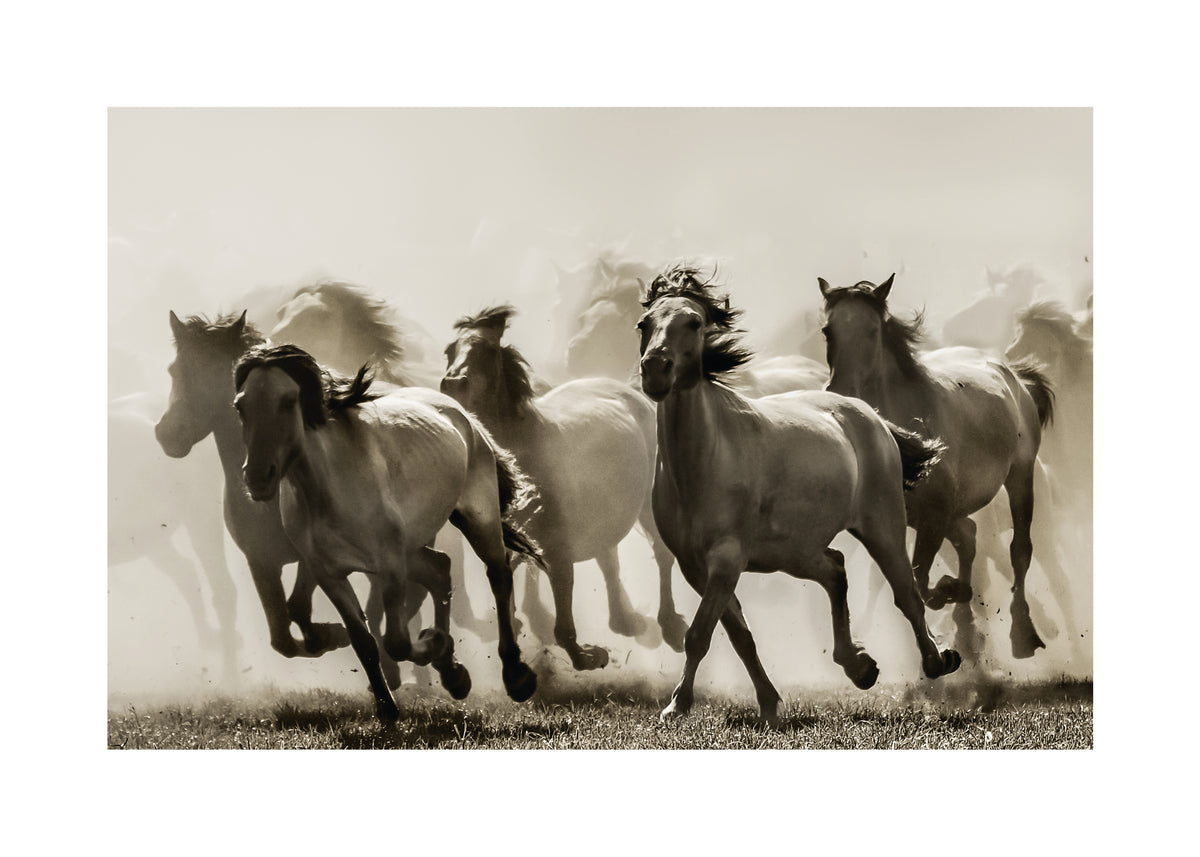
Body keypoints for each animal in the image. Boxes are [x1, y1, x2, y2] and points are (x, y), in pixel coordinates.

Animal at [234, 344, 541, 720]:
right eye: (241, 405)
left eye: (289, 400)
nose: (257, 477)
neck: (329, 487)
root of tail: (462, 414)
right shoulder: (328, 573)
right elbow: (363, 640)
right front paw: (387, 708)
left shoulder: (390, 564)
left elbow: (395, 641)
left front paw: (431, 643)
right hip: (412, 547)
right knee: (440, 569)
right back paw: (453, 675)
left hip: (477, 519)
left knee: (497, 575)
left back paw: (516, 676)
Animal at [441, 305, 690, 668]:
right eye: (449, 351)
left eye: (486, 351)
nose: (452, 385)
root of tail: (632, 393)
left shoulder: (557, 547)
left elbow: (561, 605)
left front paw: (585, 655)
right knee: (608, 557)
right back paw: (625, 620)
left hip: (646, 504)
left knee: (660, 555)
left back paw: (669, 626)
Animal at [637, 266, 960, 726]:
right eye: (644, 324)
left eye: (694, 323)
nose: (655, 370)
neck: (704, 461)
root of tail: (871, 415)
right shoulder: (694, 566)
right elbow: (738, 636)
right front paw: (769, 705)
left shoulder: (726, 558)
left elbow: (699, 634)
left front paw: (676, 705)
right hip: (794, 552)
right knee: (836, 569)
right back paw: (859, 666)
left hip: (882, 528)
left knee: (907, 595)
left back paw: (937, 661)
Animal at [819, 274, 1055, 660]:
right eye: (828, 330)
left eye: (872, 330)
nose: (841, 390)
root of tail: (1013, 375)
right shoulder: (908, 520)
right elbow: (919, 580)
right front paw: (952, 596)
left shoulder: (934, 515)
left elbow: (920, 580)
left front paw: (947, 596)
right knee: (969, 537)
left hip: (1020, 476)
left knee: (1019, 549)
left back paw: (1022, 634)